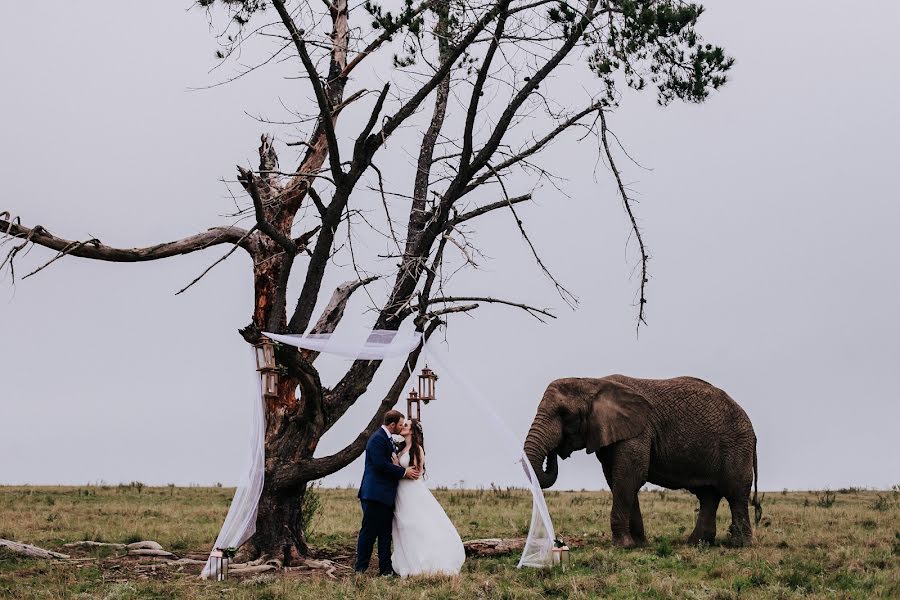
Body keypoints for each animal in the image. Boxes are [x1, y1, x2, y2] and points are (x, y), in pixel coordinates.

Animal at [524, 376, 764, 548]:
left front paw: (622, 546)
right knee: (708, 495)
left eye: (565, 414)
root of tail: (752, 427)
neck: (593, 381)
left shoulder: (638, 433)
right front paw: (638, 544)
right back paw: (696, 544)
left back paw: (739, 545)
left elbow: (628, 478)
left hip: (736, 445)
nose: (555, 452)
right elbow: (618, 481)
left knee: (735, 492)